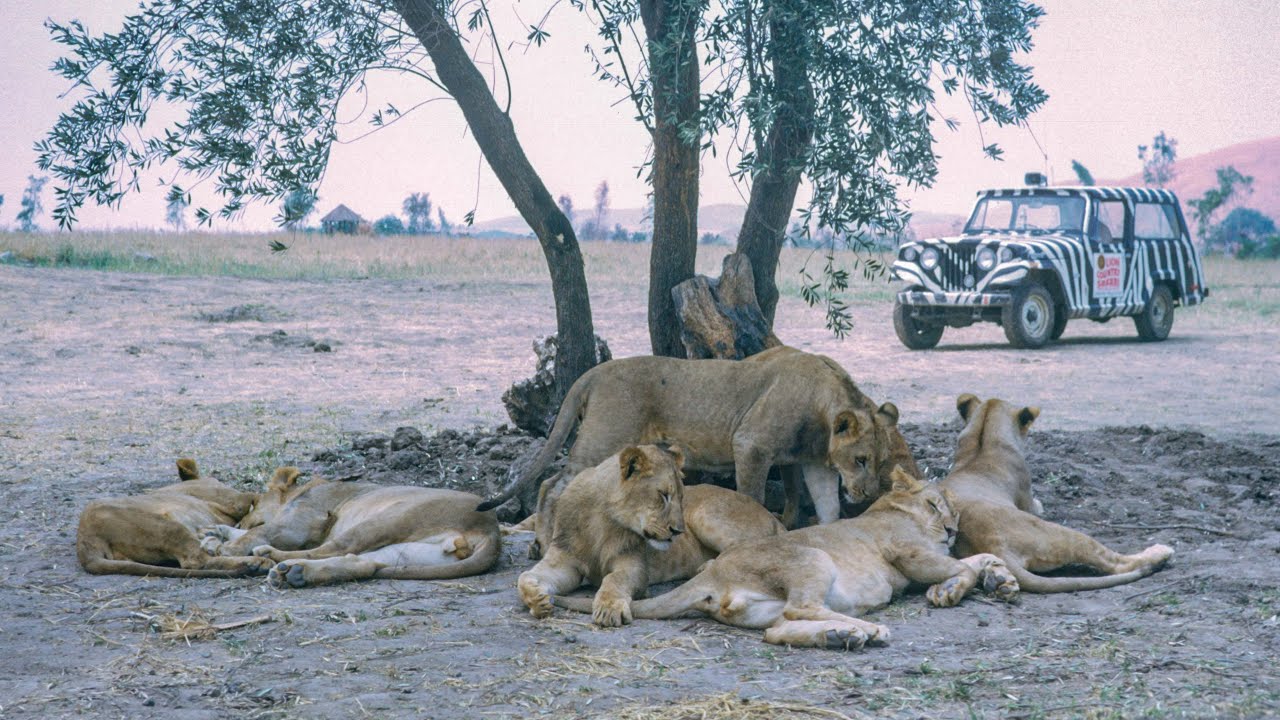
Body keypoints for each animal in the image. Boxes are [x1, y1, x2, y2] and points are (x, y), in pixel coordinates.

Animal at [76, 458, 272, 576]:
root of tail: (84, 538)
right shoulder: (233, 499)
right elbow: (256, 496)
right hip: (167, 527)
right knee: (196, 560)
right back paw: (257, 563)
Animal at [202, 466, 496, 589]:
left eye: (253, 504)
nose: (238, 520)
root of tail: (490, 527)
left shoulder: (300, 523)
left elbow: (258, 532)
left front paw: (226, 546)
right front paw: (213, 534)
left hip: (388, 518)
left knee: (332, 549)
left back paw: (274, 558)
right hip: (408, 553)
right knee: (361, 563)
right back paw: (294, 574)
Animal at [517, 445, 778, 625]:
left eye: (681, 497)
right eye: (663, 495)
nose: (678, 531)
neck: (602, 518)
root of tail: (770, 513)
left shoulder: (634, 566)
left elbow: (614, 579)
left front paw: (609, 608)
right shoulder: (564, 560)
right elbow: (523, 577)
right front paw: (537, 600)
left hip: (708, 515)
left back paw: (706, 568)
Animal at [550, 466, 1018, 645]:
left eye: (957, 513)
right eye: (936, 505)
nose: (953, 529)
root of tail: (712, 575)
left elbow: (976, 558)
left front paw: (1000, 576)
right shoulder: (906, 551)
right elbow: (957, 566)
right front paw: (954, 588)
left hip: (761, 610)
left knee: (777, 631)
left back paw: (840, 636)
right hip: (814, 558)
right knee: (800, 610)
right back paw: (864, 629)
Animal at [947, 394, 1172, 591]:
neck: (981, 443)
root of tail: (993, 543)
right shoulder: (1028, 501)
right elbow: (1037, 504)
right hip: (1063, 534)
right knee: (1116, 562)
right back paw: (1161, 552)